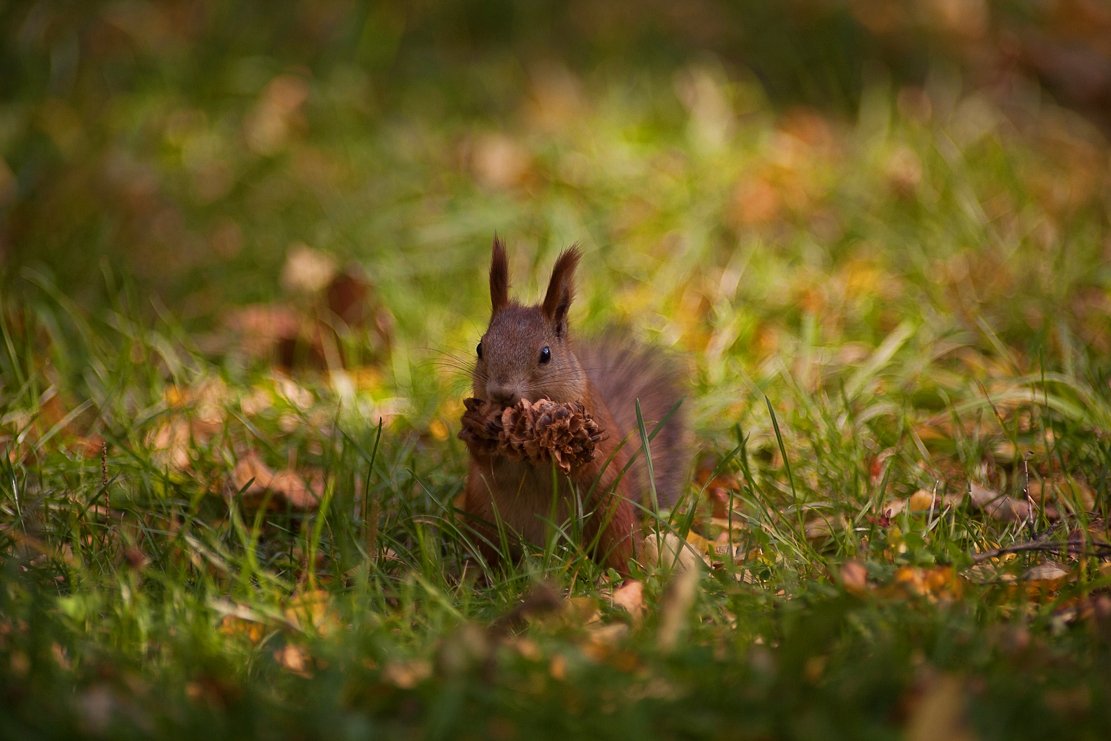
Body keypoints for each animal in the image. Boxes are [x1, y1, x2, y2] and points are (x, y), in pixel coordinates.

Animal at [457, 237, 684, 573]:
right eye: (479, 348)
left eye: (546, 354)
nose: (501, 392)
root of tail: (543, 553)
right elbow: (486, 461)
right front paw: (478, 426)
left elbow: (581, 464)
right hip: (482, 518)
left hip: (610, 517)